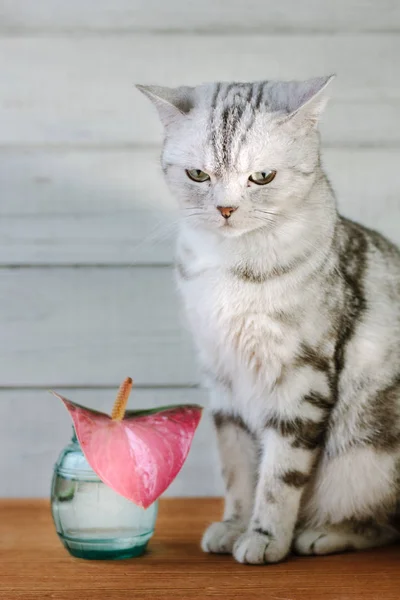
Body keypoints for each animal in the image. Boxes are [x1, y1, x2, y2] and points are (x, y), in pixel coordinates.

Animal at [138, 75, 400, 564]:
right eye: (198, 175)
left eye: (261, 176)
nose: (225, 209)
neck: (233, 267)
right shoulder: (222, 379)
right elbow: (238, 466)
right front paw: (234, 526)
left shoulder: (302, 378)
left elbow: (279, 475)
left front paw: (264, 537)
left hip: (367, 456)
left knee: (382, 520)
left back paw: (322, 535)